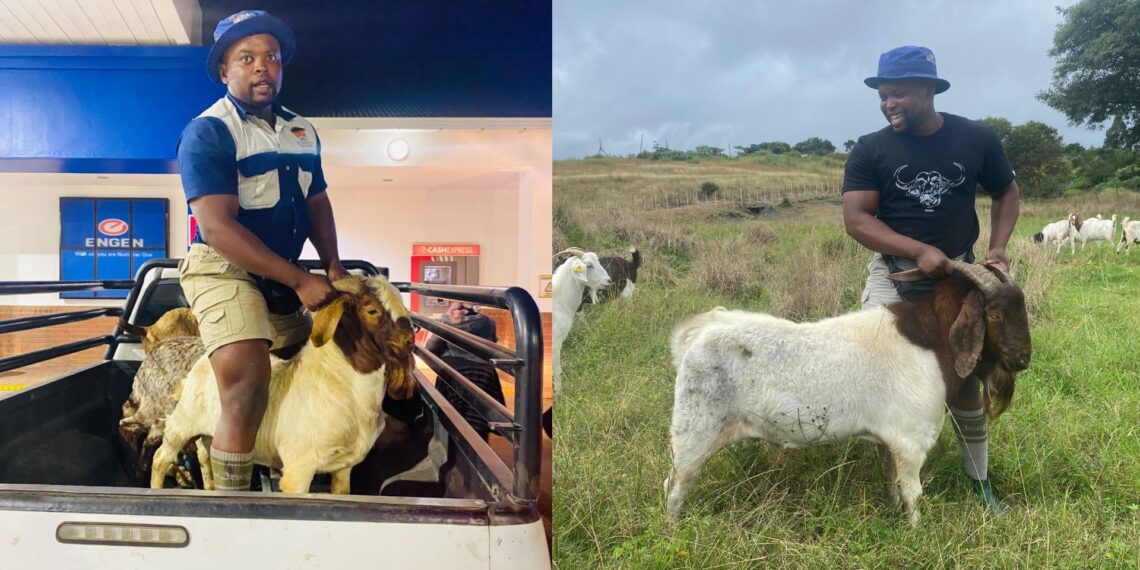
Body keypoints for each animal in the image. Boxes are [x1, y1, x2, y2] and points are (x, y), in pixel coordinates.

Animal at [150, 275, 416, 493]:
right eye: (371, 310)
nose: (410, 341)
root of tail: (201, 363)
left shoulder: (343, 467)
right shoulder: (299, 470)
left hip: (208, 432)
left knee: (206, 458)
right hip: (182, 423)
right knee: (161, 458)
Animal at [551, 248, 611, 393]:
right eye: (588, 265)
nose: (608, 281)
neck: (558, 301)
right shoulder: (555, 341)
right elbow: (556, 371)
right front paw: (559, 395)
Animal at [665, 262, 1031, 526]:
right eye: (995, 313)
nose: (1023, 358)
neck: (929, 341)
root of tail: (695, 335)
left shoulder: (889, 439)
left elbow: (892, 480)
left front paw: (895, 514)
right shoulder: (911, 440)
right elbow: (913, 492)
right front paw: (918, 530)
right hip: (694, 432)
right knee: (675, 485)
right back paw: (673, 528)